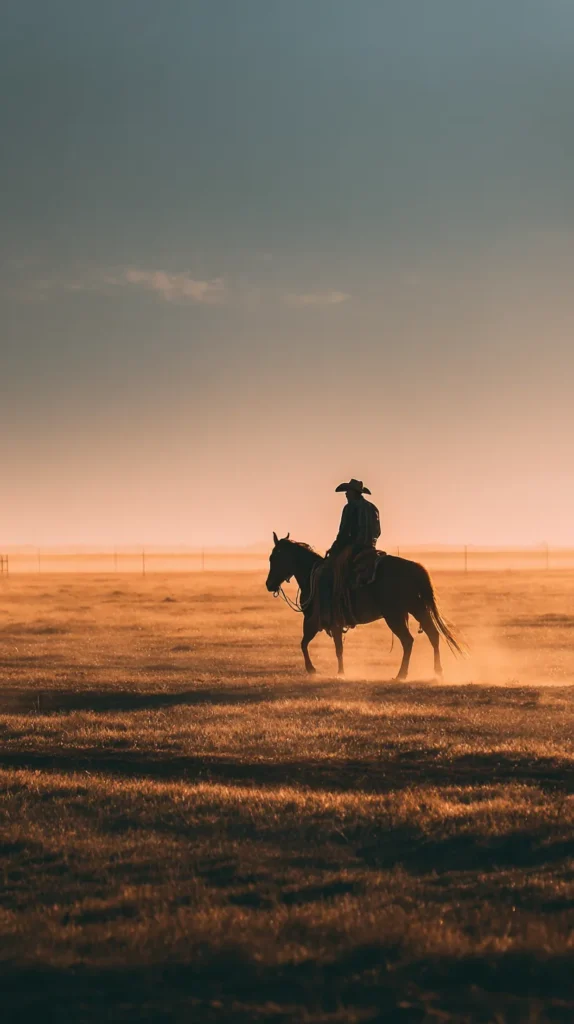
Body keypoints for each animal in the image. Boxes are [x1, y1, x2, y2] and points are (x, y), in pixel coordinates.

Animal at [266, 533, 463, 680]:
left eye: (274, 557)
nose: (269, 584)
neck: (311, 575)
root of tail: (414, 568)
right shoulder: (323, 623)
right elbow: (312, 644)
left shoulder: (317, 621)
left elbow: (320, 646)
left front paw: (326, 671)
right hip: (416, 608)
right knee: (433, 635)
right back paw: (437, 671)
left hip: (395, 615)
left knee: (408, 640)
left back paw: (402, 674)